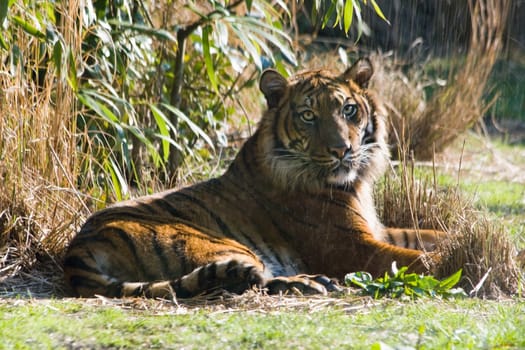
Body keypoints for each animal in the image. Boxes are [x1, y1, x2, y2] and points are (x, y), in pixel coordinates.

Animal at [63, 58, 444, 298]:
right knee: (256, 279)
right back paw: (313, 283)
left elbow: (430, 237)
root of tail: (77, 248)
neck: (355, 182)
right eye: (308, 116)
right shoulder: (351, 246)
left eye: (349, 110)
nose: (342, 150)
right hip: (218, 243)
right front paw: (451, 263)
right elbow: (415, 259)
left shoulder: (377, 229)